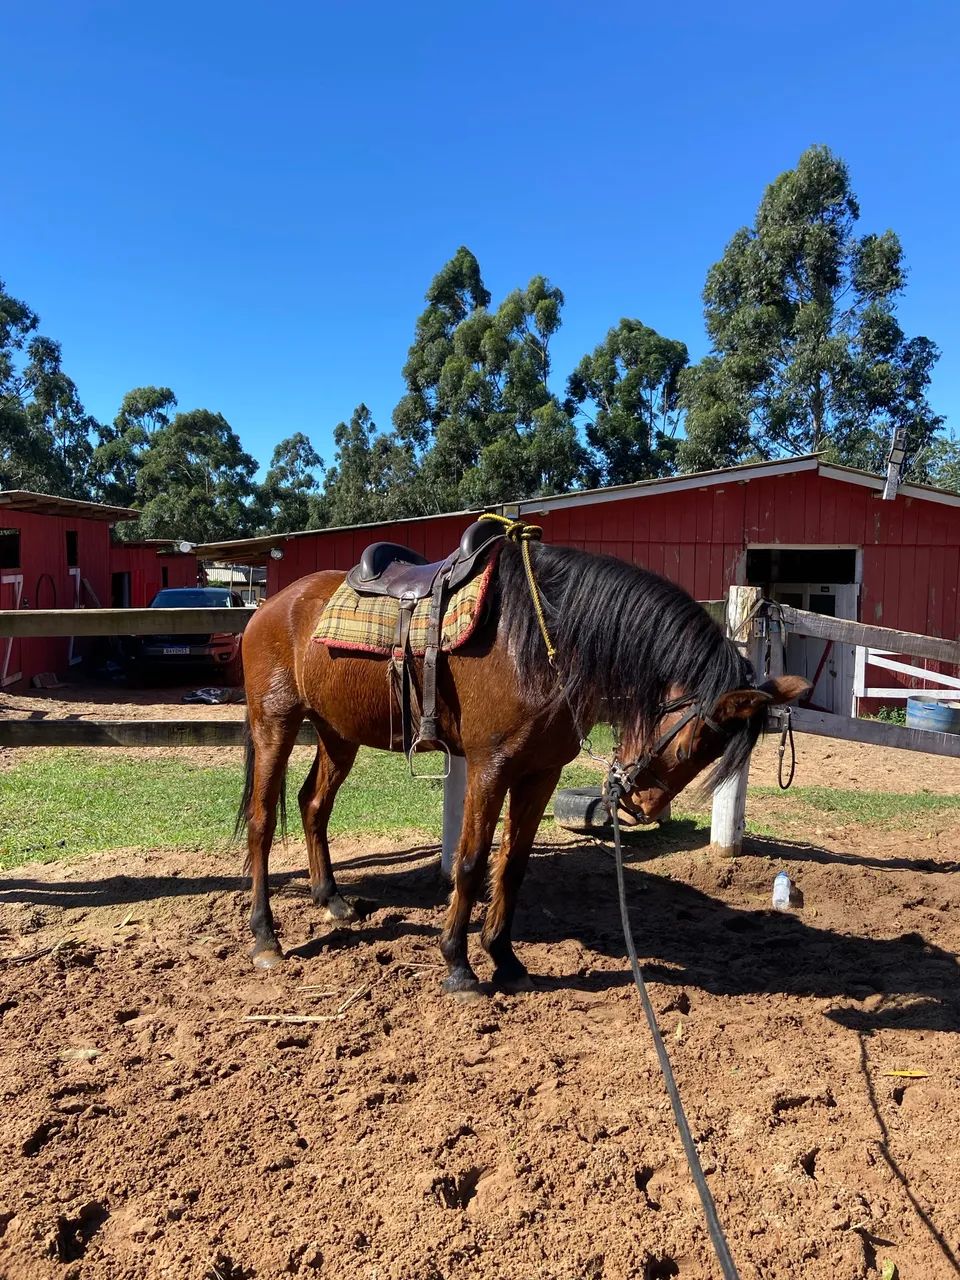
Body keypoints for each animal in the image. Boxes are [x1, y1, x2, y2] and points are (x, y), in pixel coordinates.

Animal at [237, 533, 807, 997]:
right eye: (691, 748)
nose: (642, 803)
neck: (538, 641)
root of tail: (270, 605)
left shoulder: (540, 773)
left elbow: (511, 865)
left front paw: (505, 961)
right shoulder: (490, 767)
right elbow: (470, 862)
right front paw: (459, 967)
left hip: (337, 734)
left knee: (313, 804)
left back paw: (332, 901)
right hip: (275, 723)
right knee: (262, 822)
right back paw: (266, 938)